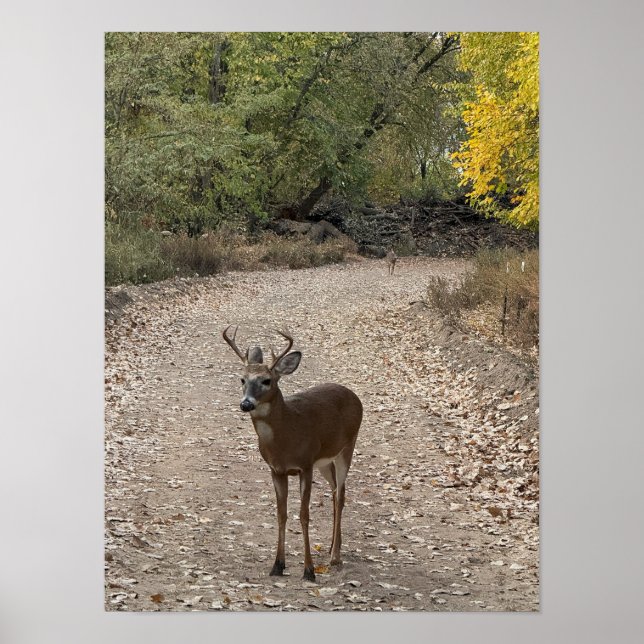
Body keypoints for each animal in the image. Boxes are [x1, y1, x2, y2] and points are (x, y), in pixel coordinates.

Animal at [222, 326, 363, 582]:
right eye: (242, 379)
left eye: (266, 380)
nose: (246, 404)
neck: (286, 438)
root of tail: (354, 395)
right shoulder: (276, 470)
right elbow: (282, 514)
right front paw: (277, 565)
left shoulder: (305, 465)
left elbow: (303, 514)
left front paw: (309, 570)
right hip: (324, 461)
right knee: (336, 490)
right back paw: (332, 547)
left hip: (347, 446)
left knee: (340, 494)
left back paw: (335, 556)